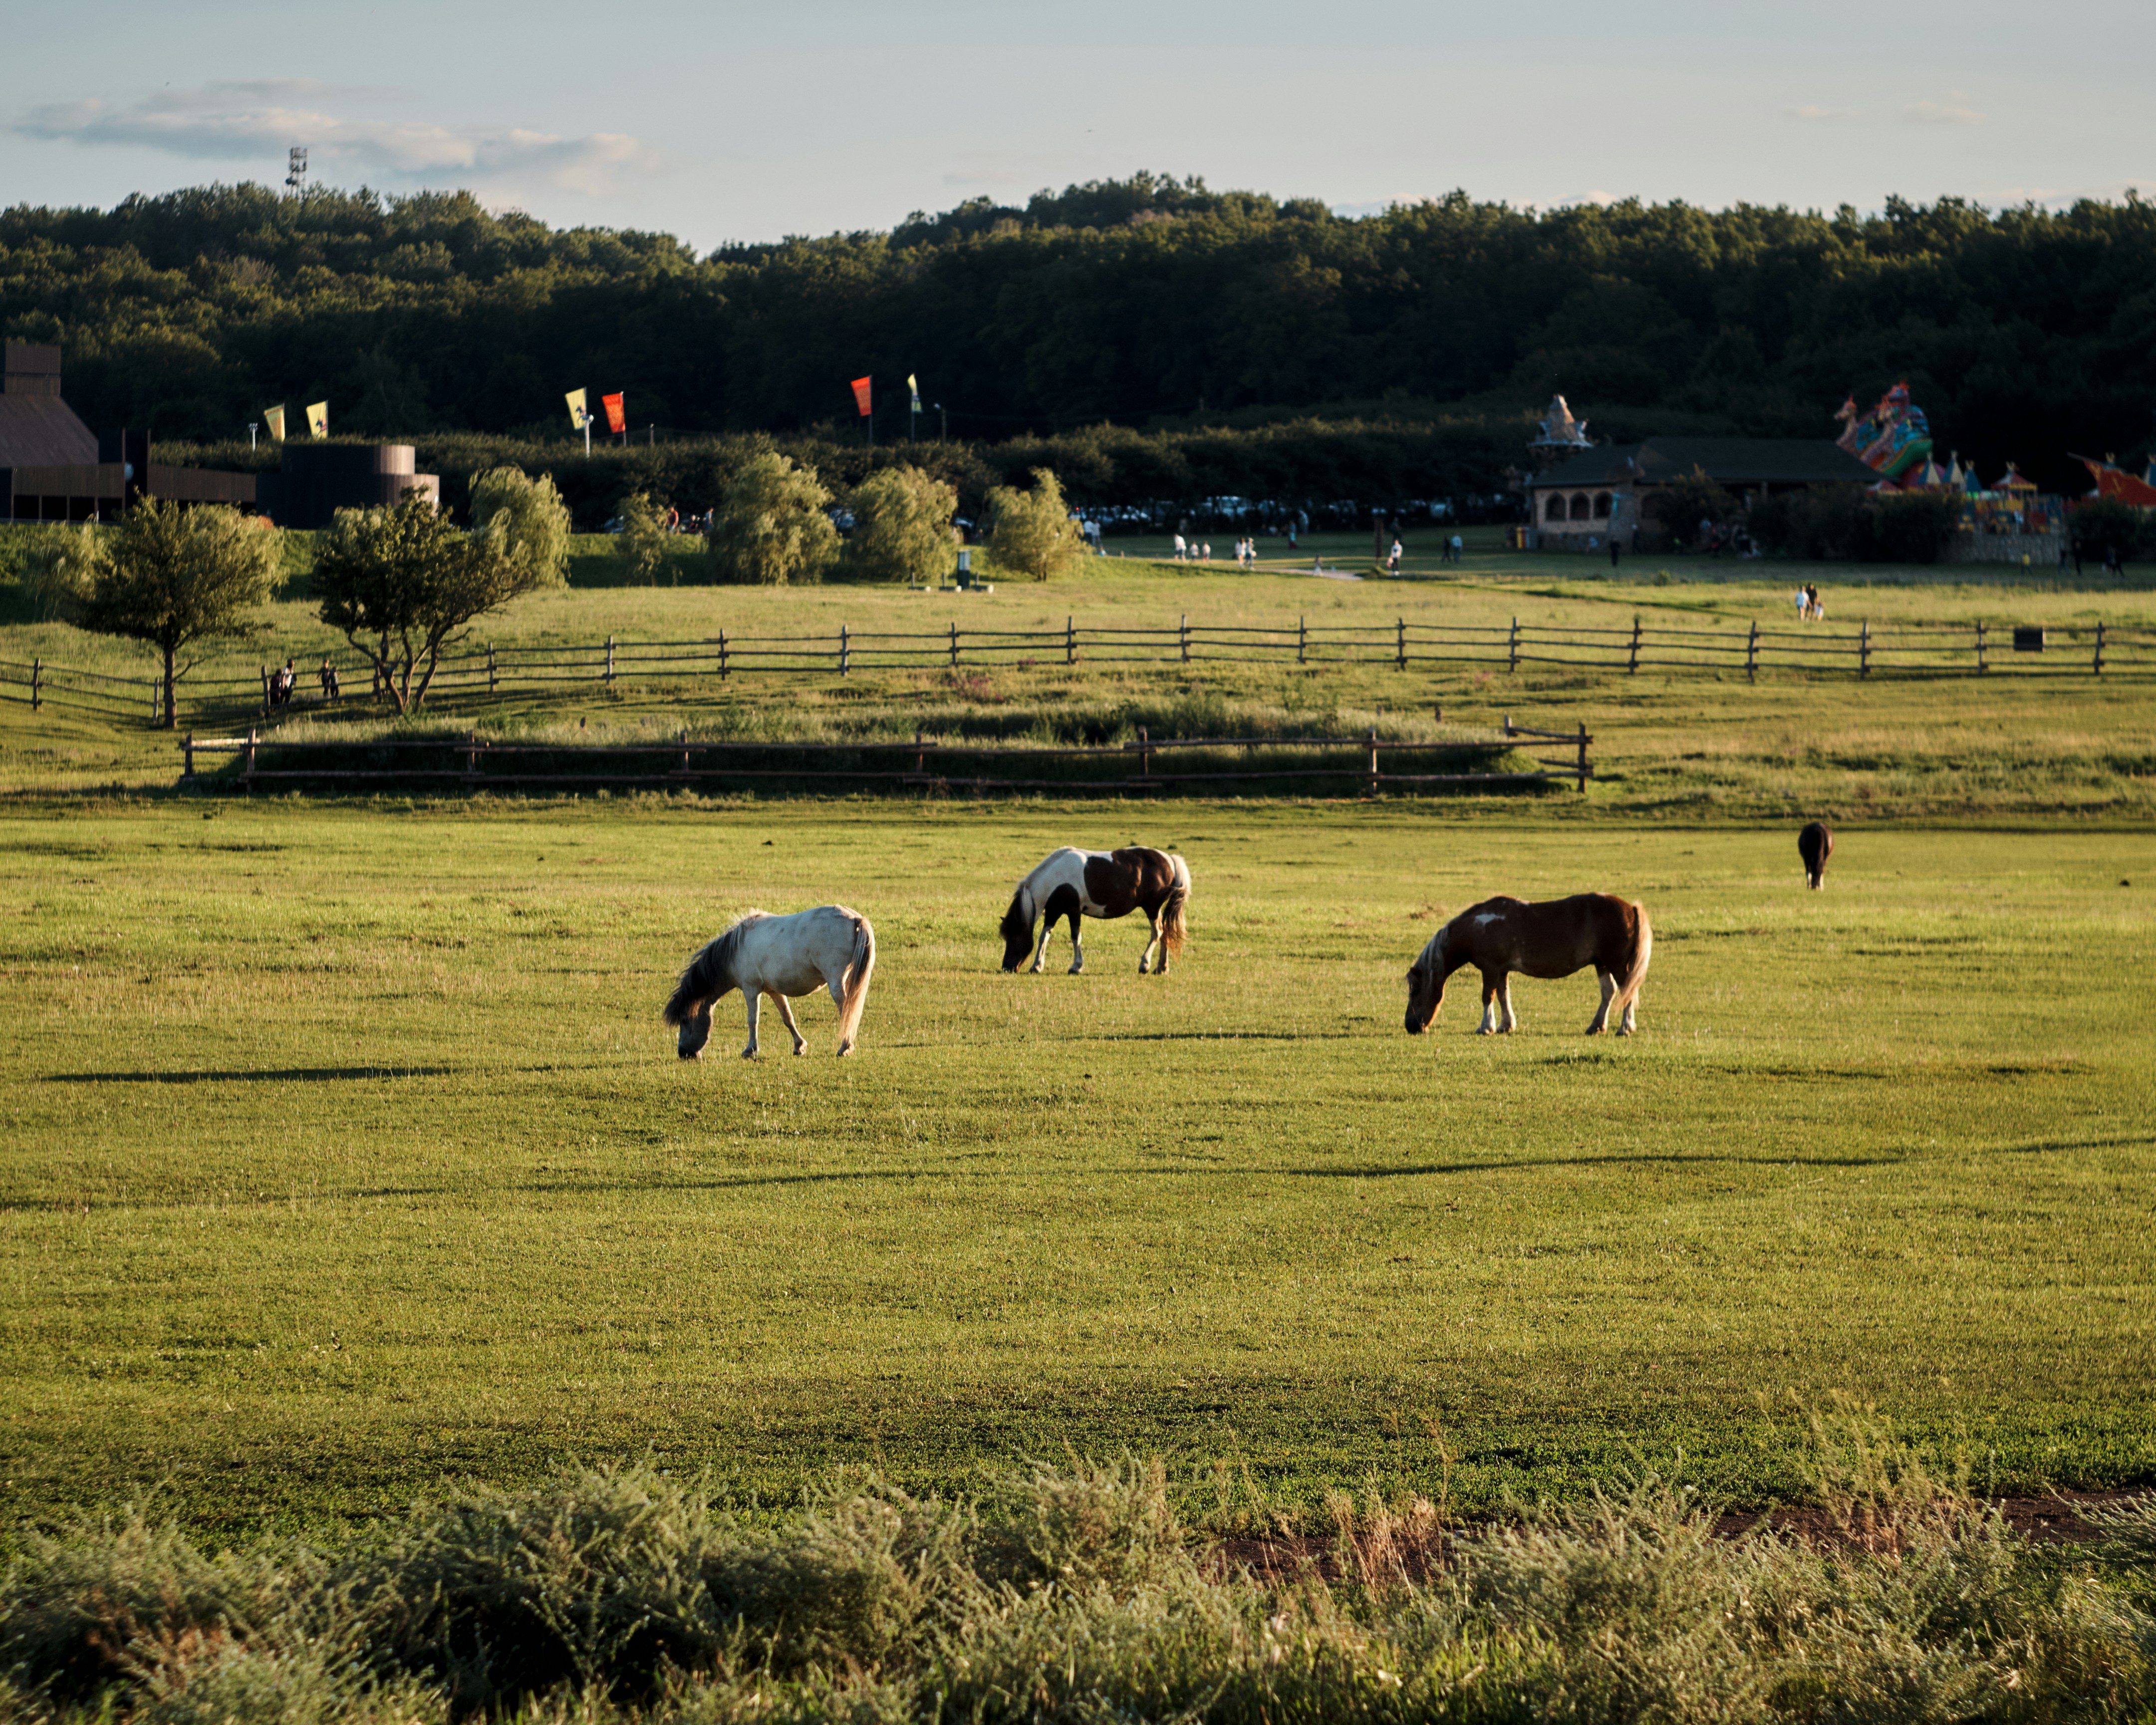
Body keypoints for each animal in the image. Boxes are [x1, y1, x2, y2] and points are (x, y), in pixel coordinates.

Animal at [664, 906, 876, 1060]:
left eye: (685, 1020)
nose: (684, 1054)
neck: (735, 950)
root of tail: (854, 918)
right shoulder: (775, 991)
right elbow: (788, 1018)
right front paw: (799, 1047)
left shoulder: (751, 989)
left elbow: (753, 1020)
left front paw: (750, 1050)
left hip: (836, 983)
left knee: (847, 1011)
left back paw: (845, 1047)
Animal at [1000, 846, 1191, 974]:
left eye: (1014, 936)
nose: (1007, 967)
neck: (1056, 878)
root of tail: (1170, 860)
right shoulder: (1054, 911)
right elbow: (1043, 937)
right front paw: (1037, 966)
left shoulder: (1074, 911)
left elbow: (1075, 937)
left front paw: (1076, 967)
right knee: (1165, 933)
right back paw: (1162, 968)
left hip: (1152, 907)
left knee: (1157, 932)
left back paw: (1145, 965)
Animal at [1405, 893, 1652, 1037]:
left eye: (1415, 990)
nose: (1411, 1026)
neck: (1478, 926)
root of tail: (1631, 908)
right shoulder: (1501, 971)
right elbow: (1503, 996)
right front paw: (1506, 1025)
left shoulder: (1490, 969)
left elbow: (1487, 998)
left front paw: (1486, 1027)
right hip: (1601, 964)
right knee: (1609, 992)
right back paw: (1596, 1027)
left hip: (1617, 964)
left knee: (1627, 992)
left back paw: (1625, 1028)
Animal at [1798, 821, 1833, 890]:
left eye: (1819, 874)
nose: (1814, 887)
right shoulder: (1807, 859)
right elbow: (1809, 871)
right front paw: (1809, 886)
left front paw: (1820, 887)